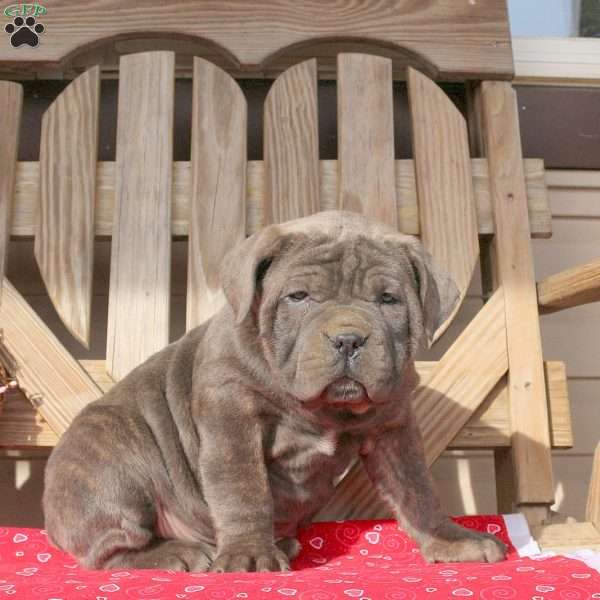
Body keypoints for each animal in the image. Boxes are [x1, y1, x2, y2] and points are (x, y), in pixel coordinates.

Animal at [43, 211, 506, 572]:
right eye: (298, 297)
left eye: (389, 300)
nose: (348, 338)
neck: (321, 407)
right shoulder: (232, 419)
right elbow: (244, 489)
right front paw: (249, 554)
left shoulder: (393, 427)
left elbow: (417, 489)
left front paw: (449, 539)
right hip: (112, 464)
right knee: (107, 550)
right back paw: (176, 554)